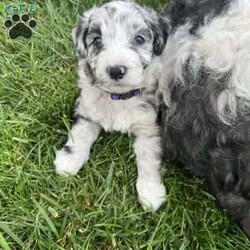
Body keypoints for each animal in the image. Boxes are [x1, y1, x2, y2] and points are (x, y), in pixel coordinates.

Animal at [53, 0, 167, 211]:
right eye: (97, 41)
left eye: (139, 39)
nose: (115, 70)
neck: (119, 97)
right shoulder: (87, 110)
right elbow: (79, 135)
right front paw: (68, 161)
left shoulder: (148, 126)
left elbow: (148, 158)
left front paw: (151, 192)